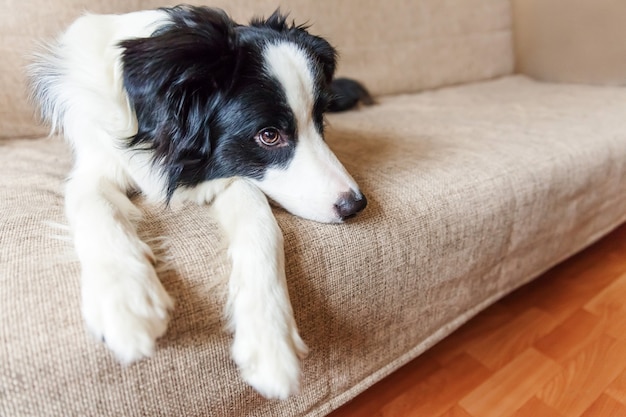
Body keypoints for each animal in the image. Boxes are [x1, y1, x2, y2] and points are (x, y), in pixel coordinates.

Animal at [29, 4, 368, 400]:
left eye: (320, 119)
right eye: (269, 135)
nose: (355, 205)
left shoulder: (228, 175)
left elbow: (261, 223)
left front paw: (270, 340)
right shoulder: (95, 165)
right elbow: (95, 204)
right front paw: (126, 301)